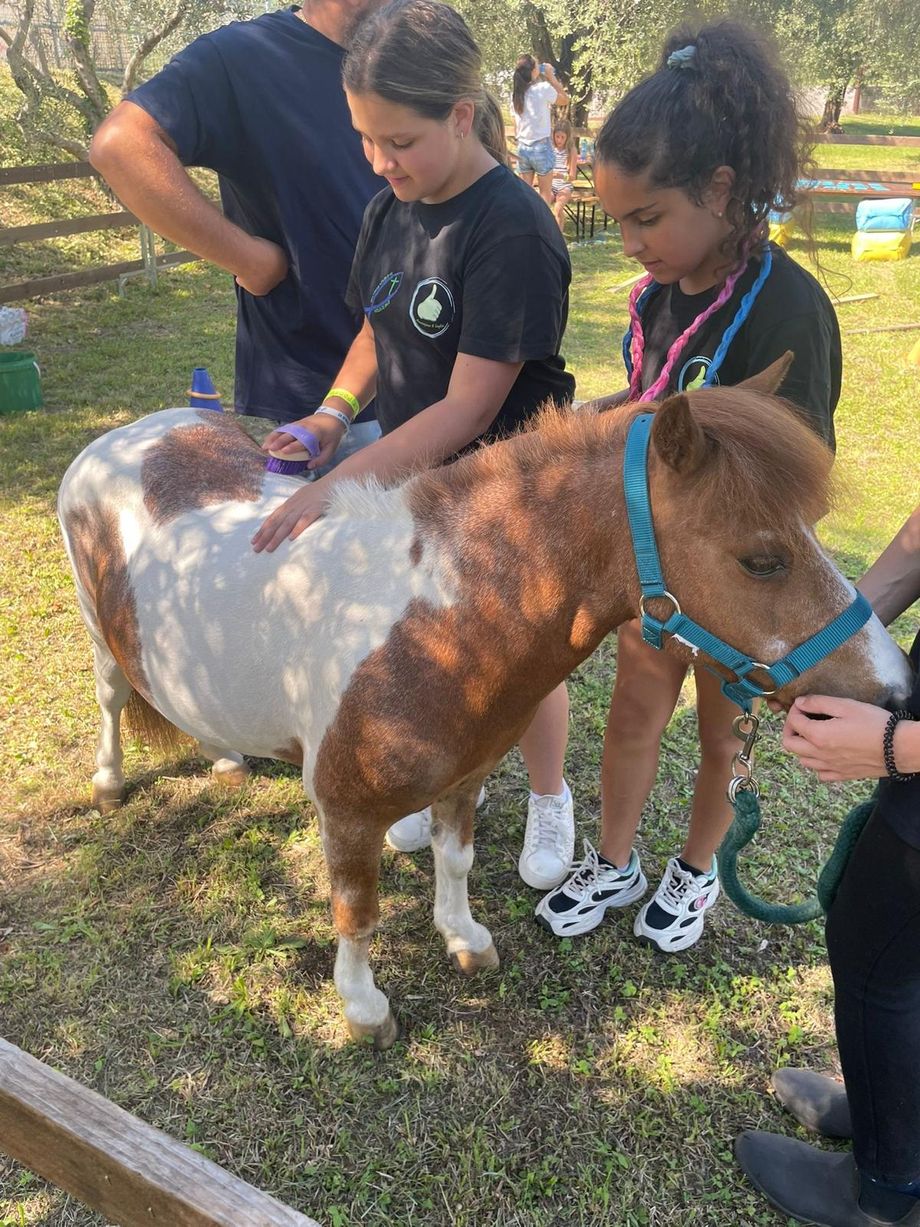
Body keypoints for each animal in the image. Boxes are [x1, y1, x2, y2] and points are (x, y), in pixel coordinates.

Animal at [58, 357, 912, 1049]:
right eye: (762, 559)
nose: (895, 690)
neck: (438, 620)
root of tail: (131, 435)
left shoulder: (465, 776)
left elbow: (457, 859)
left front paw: (465, 938)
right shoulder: (346, 809)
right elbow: (357, 910)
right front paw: (364, 1008)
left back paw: (227, 756)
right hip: (99, 639)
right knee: (109, 699)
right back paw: (107, 782)